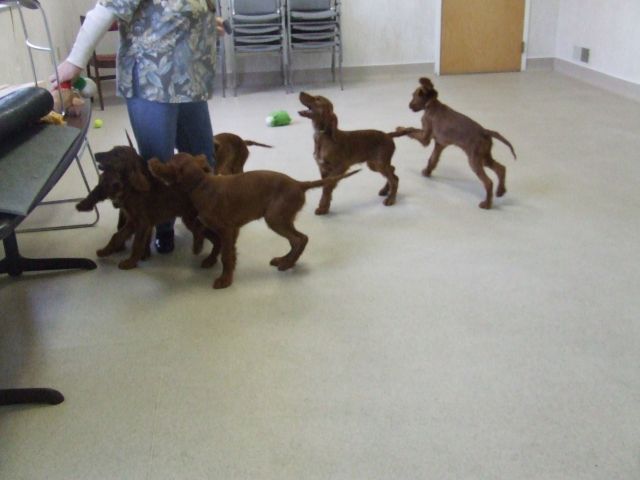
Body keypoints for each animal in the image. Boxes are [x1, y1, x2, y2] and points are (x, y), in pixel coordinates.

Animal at [76, 146, 220, 269]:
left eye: (116, 154)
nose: (96, 155)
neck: (132, 188)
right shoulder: (132, 222)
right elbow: (117, 236)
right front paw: (104, 251)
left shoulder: (142, 223)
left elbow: (137, 244)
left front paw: (130, 263)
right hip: (192, 219)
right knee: (215, 238)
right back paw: (210, 260)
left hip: (193, 219)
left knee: (212, 236)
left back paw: (206, 254)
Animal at [149, 153, 360, 289]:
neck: (202, 183)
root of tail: (299, 184)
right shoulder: (222, 228)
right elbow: (211, 239)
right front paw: (204, 253)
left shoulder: (227, 229)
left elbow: (225, 255)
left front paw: (225, 279)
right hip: (281, 218)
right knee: (297, 240)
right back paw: (285, 260)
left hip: (275, 218)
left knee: (300, 239)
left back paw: (287, 264)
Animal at [393, 77, 516, 209]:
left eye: (414, 95)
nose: (409, 106)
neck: (432, 105)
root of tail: (484, 131)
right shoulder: (439, 144)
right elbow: (432, 159)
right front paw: (427, 172)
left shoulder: (425, 138)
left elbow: (410, 130)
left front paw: (400, 129)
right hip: (484, 157)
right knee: (501, 168)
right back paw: (501, 191)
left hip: (474, 160)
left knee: (488, 182)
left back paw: (487, 204)